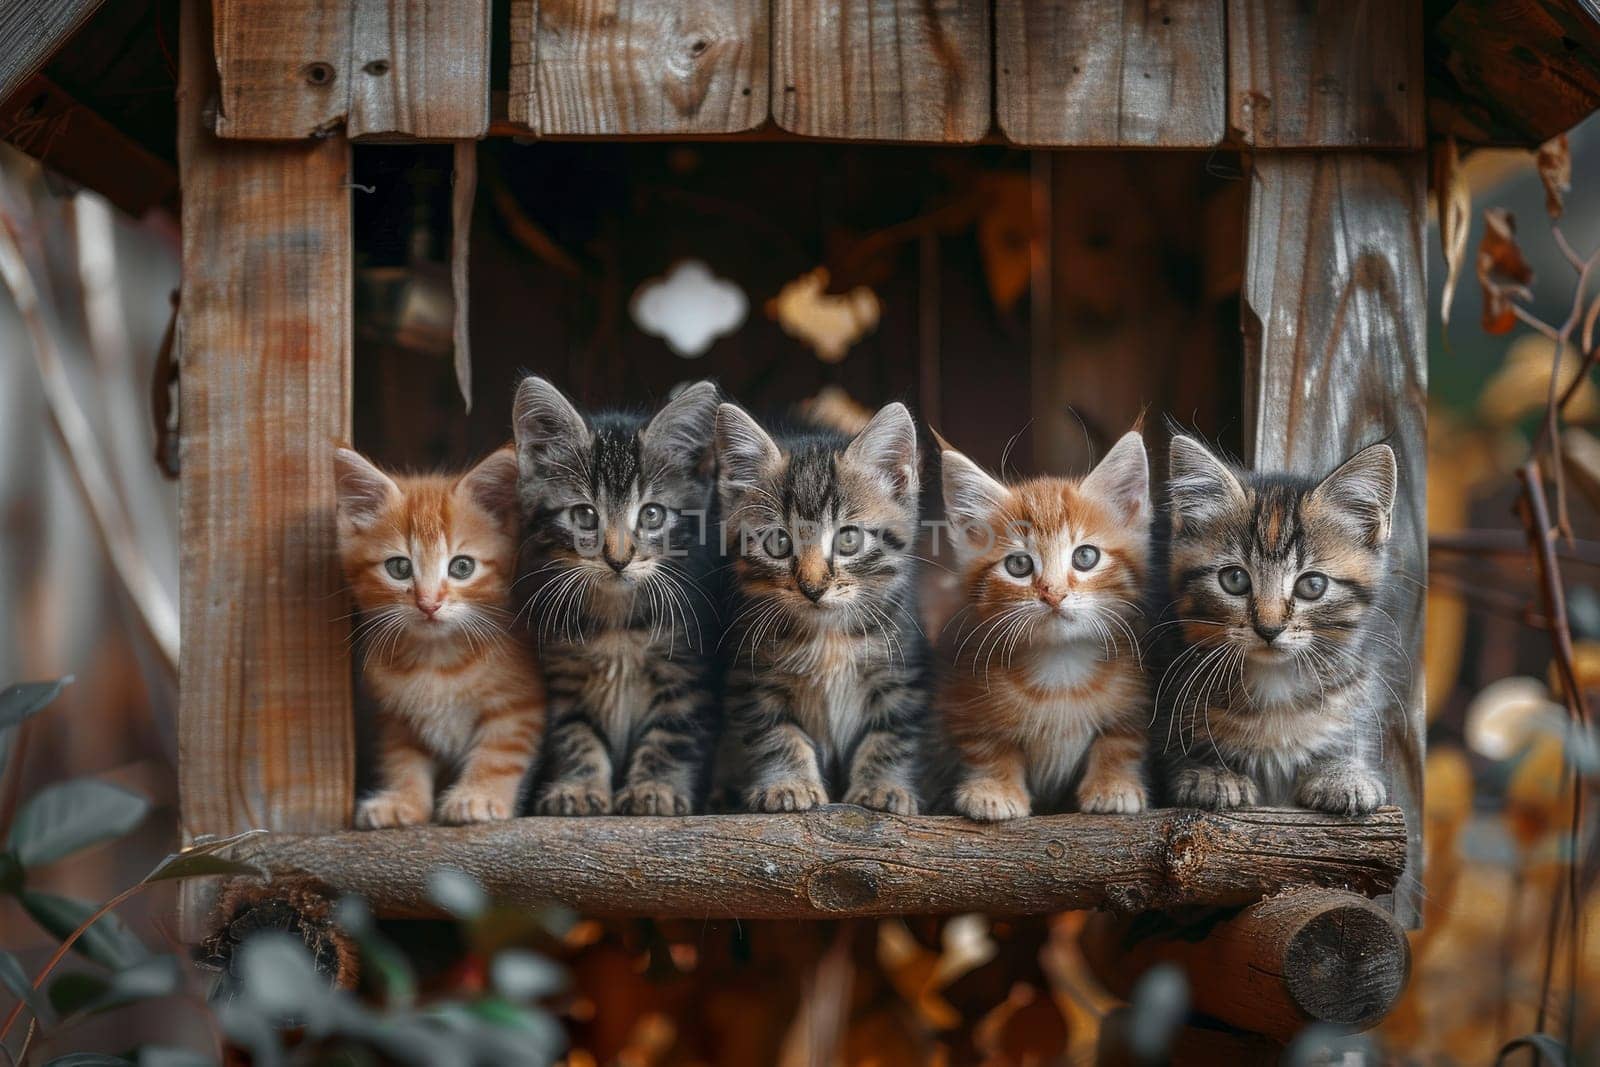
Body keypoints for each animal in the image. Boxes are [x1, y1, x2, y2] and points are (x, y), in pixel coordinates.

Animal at [334, 447, 547, 831]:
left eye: (462, 567)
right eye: (399, 568)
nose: (428, 603)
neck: (437, 660)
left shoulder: (520, 703)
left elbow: (500, 753)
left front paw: (478, 796)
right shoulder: (395, 718)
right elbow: (402, 759)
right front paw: (403, 801)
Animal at [512, 377, 720, 819]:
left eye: (652, 515)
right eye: (585, 516)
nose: (618, 558)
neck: (618, 623)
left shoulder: (687, 673)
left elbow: (671, 734)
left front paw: (654, 789)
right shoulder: (564, 677)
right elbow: (574, 735)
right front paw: (576, 788)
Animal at [720, 404, 934, 812]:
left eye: (848, 540)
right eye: (777, 542)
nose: (813, 588)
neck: (828, 634)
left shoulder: (902, 670)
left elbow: (891, 733)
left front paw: (884, 787)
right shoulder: (752, 674)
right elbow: (774, 733)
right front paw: (788, 783)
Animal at [934, 428, 1152, 825]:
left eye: (1085, 556)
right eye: (1019, 564)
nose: (1053, 593)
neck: (1061, 669)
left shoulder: (1137, 696)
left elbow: (1120, 739)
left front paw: (1113, 785)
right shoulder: (959, 690)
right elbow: (987, 745)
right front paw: (993, 790)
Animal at [1152, 435, 1401, 819]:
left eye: (1312, 585)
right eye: (1235, 579)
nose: (1268, 629)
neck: (1276, 688)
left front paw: (1344, 774)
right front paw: (1209, 773)